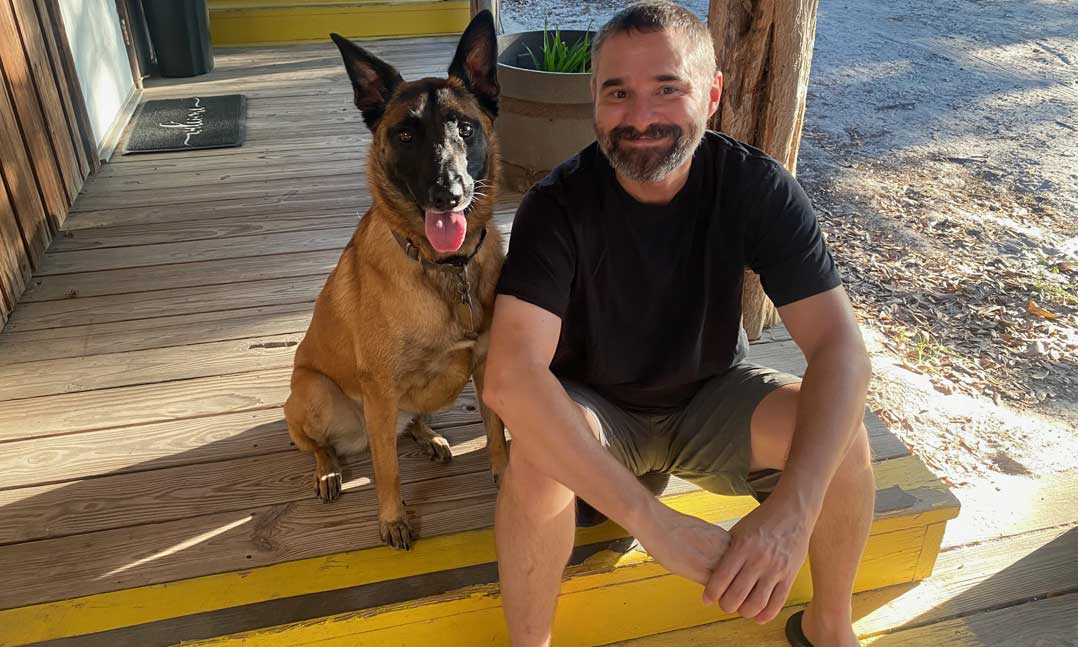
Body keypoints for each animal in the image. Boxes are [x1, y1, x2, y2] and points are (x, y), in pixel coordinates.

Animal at [284, 12, 506, 547]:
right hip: (316, 395)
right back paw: (328, 469)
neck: (446, 269)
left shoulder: (487, 363)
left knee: (408, 424)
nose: (448, 193)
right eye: (406, 135)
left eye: (466, 128)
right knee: (319, 443)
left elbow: (497, 433)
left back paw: (428, 436)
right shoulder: (380, 390)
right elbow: (388, 471)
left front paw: (505, 475)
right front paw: (392, 518)